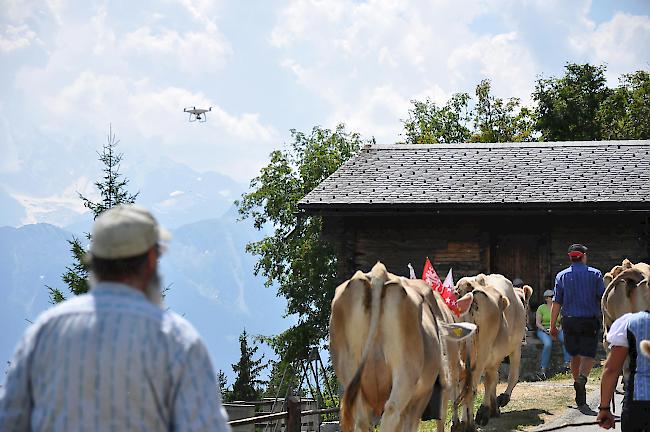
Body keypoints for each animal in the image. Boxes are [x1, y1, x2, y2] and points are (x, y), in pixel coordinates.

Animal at [332, 264, 474, 432]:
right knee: (391, 413)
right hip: (405, 374)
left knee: (362, 420)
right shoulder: (433, 390)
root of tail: (378, 274)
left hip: (350, 375)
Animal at [450, 276, 528, 430]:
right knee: (471, 386)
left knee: (457, 385)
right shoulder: (513, 348)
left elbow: (492, 380)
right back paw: (469, 424)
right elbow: (507, 377)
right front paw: (491, 407)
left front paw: (492, 408)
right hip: (481, 353)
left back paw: (456, 423)